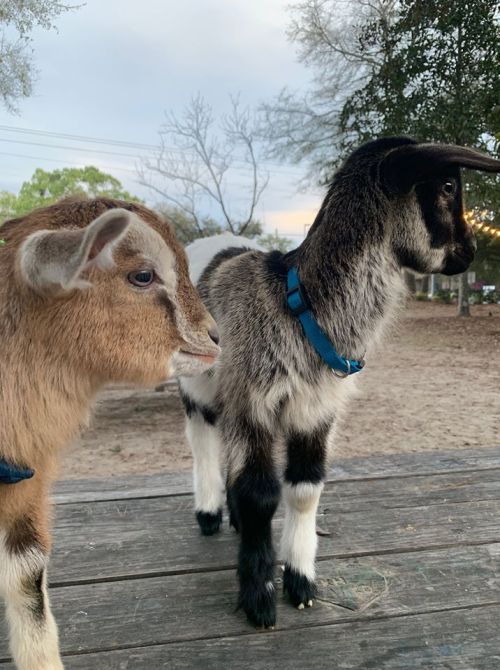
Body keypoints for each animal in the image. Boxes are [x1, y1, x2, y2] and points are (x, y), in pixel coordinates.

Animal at [179, 137, 500, 628]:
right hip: (198, 380)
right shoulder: (252, 399)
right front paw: (259, 598)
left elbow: (305, 489)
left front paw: (301, 582)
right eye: (448, 185)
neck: (297, 305)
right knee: (201, 434)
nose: (470, 251)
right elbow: (259, 494)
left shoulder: (317, 408)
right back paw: (210, 511)